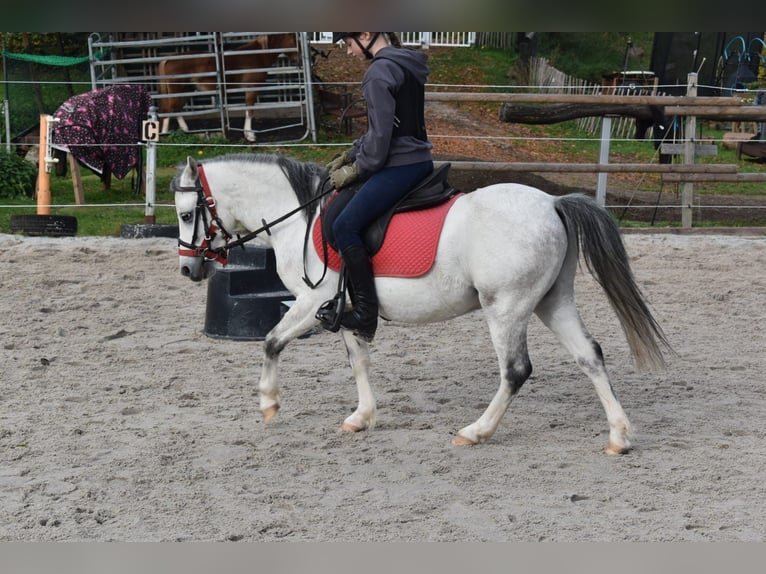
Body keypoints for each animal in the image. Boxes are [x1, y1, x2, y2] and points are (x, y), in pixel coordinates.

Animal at [157, 33, 298, 142]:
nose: (299, 57)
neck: (256, 56)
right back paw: (165, 135)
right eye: (294, 39)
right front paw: (249, 135)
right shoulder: (251, 89)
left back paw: (185, 130)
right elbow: (249, 110)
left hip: (186, 90)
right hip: (178, 90)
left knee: (176, 108)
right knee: (169, 110)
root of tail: (168, 59)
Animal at [173, 153, 672, 454]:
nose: (189, 270)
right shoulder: (349, 309)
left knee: (515, 371)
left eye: (185, 214)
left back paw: (476, 431)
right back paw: (619, 436)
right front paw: (361, 418)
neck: (300, 218)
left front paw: (268, 403)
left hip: (506, 307)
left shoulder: (313, 300)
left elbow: (271, 342)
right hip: (552, 301)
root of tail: (552, 202)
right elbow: (359, 361)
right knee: (590, 356)